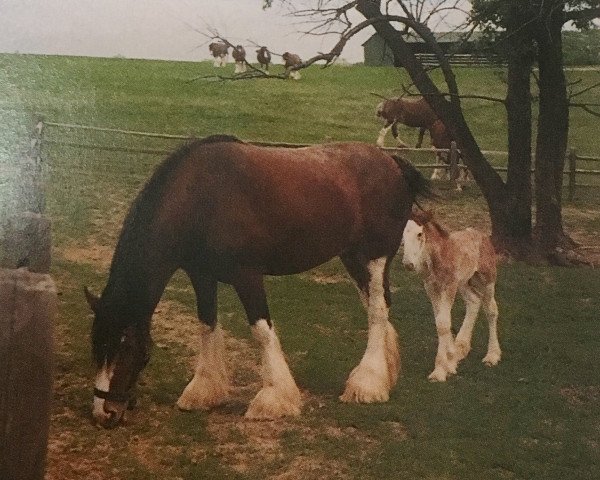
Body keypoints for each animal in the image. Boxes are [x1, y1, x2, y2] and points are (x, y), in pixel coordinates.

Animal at [84, 134, 432, 428]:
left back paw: (368, 384)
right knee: (378, 307)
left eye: (127, 346)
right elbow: (206, 325)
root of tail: (392, 163)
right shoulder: (202, 276)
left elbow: (262, 331)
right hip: (352, 258)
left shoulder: (247, 276)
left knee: (377, 311)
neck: (201, 198)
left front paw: (274, 399)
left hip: (374, 258)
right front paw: (202, 392)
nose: (104, 414)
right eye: (96, 344)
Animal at [404, 210, 502, 382]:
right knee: (474, 300)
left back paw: (492, 356)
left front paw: (439, 371)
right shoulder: (431, 287)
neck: (437, 257)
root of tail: (482, 235)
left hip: (487, 278)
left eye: (419, 234)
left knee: (491, 309)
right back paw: (461, 348)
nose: (408, 264)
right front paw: (449, 362)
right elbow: (441, 321)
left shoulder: (449, 285)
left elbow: (443, 323)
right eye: (402, 235)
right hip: (464, 281)